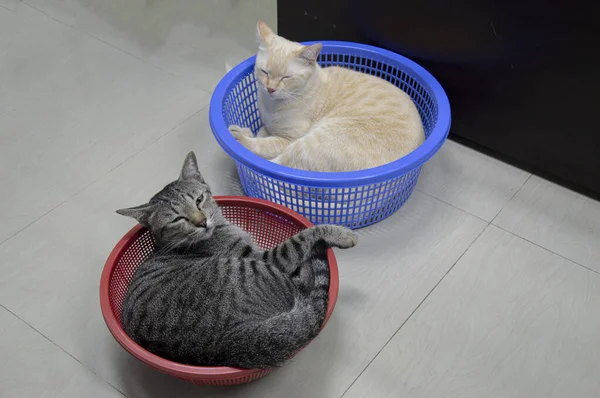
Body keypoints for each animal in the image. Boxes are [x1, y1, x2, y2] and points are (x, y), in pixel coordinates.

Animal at [118, 152, 356, 366]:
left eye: (199, 200)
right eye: (178, 219)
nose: (202, 222)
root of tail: (223, 343)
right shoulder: (266, 256)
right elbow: (303, 237)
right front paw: (341, 234)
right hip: (259, 270)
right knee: (305, 281)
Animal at [227, 20, 424, 173]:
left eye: (286, 77)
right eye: (264, 72)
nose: (270, 89)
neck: (270, 105)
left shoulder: (287, 139)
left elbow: (264, 144)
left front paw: (242, 136)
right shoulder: (268, 126)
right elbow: (260, 133)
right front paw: (247, 131)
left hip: (309, 143)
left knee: (274, 167)